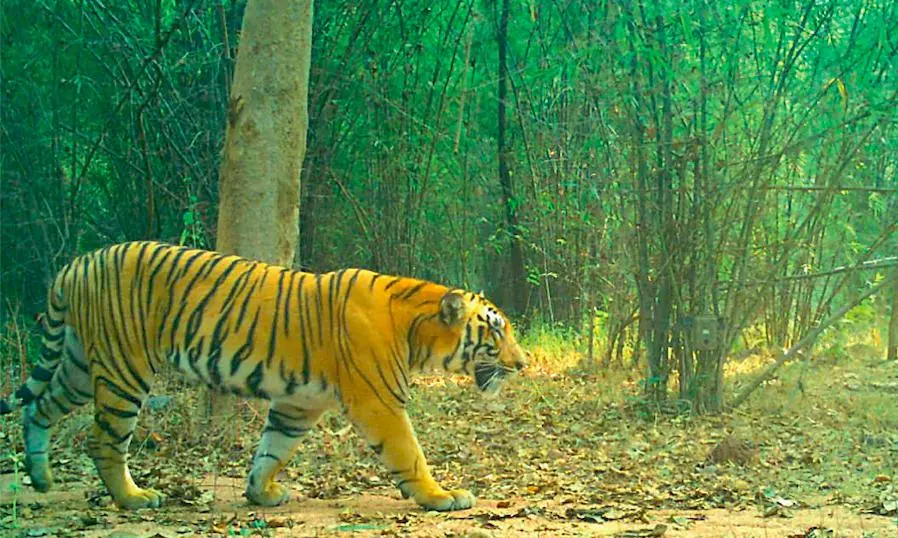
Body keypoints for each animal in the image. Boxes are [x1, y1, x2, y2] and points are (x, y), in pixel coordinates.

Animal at [0, 241, 526, 511]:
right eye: (495, 331)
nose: (522, 365)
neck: (416, 330)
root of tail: (77, 262)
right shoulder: (378, 402)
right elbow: (410, 454)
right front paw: (442, 496)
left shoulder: (298, 403)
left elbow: (273, 450)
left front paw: (261, 493)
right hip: (124, 368)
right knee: (103, 441)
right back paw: (134, 498)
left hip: (80, 365)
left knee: (37, 407)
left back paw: (42, 478)